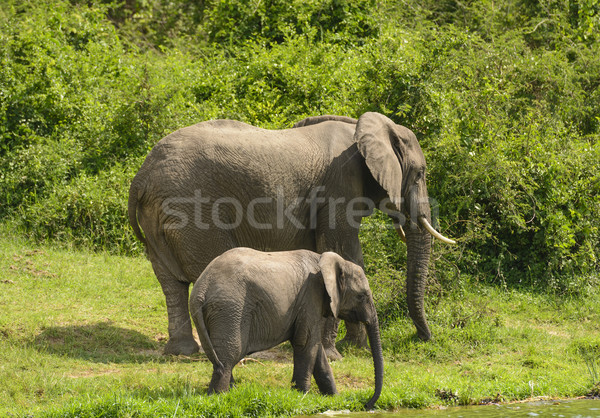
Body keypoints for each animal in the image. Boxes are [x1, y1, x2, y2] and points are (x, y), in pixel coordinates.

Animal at [127, 111, 454, 356]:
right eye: (421, 174)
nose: (422, 338)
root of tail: (141, 176)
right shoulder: (339, 186)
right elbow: (344, 252)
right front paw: (341, 350)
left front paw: (351, 346)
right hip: (192, 210)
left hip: (158, 213)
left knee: (170, 283)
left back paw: (182, 351)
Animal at [190, 248, 382, 408]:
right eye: (362, 296)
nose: (367, 405)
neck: (327, 260)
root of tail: (201, 287)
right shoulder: (310, 296)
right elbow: (305, 342)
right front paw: (301, 395)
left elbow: (316, 348)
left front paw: (334, 397)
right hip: (229, 309)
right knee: (229, 355)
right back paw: (220, 397)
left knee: (223, 356)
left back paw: (232, 391)